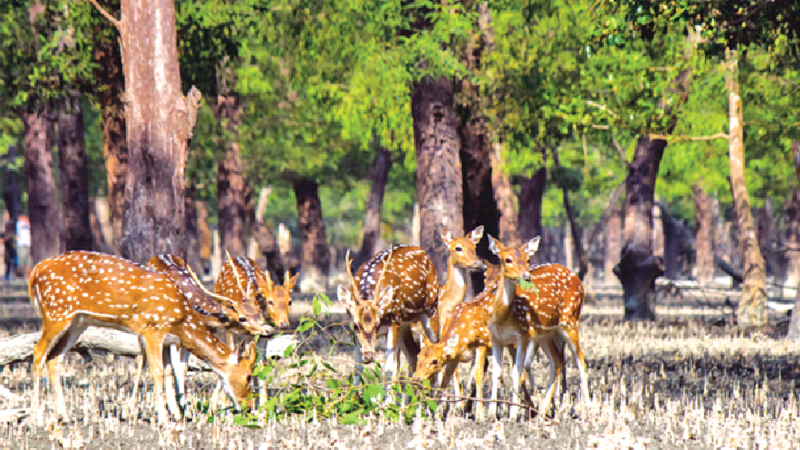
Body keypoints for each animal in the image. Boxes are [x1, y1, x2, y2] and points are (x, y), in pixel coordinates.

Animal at [29, 251, 256, 424]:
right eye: (248, 376)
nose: (248, 406)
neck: (182, 319)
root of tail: (35, 271)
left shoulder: (165, 338)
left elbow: (168, 370)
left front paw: (174, 414)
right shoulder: (152, 328)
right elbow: (157, 371)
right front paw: (163, 419)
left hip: (77, 322)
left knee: (54, 358)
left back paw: (65, 416)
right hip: (56, 312)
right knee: (38, 352)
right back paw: (36, 417)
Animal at [336, 244, 440, 384]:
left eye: (377, 324)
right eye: (356, 325)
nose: (368, 356)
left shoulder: (393, 322)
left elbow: (389, 369)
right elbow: (358, 367)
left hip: (431, 308)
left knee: (438, 347)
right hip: (404, 324)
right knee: (414, 354)